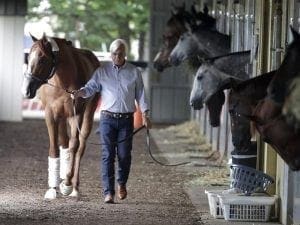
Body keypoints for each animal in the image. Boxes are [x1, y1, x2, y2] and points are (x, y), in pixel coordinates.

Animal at [22, 33, 99, 199]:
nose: (26, 91)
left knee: (80, 146)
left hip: (87, 114)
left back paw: (74, 187)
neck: (62, 81)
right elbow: (54, 148)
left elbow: (74, 145)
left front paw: (67, 184)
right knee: (64, 143)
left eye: (42, 59)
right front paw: (52, 188)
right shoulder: (50, 115)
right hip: (62, 118)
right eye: (28, 57)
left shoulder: (76, 115)